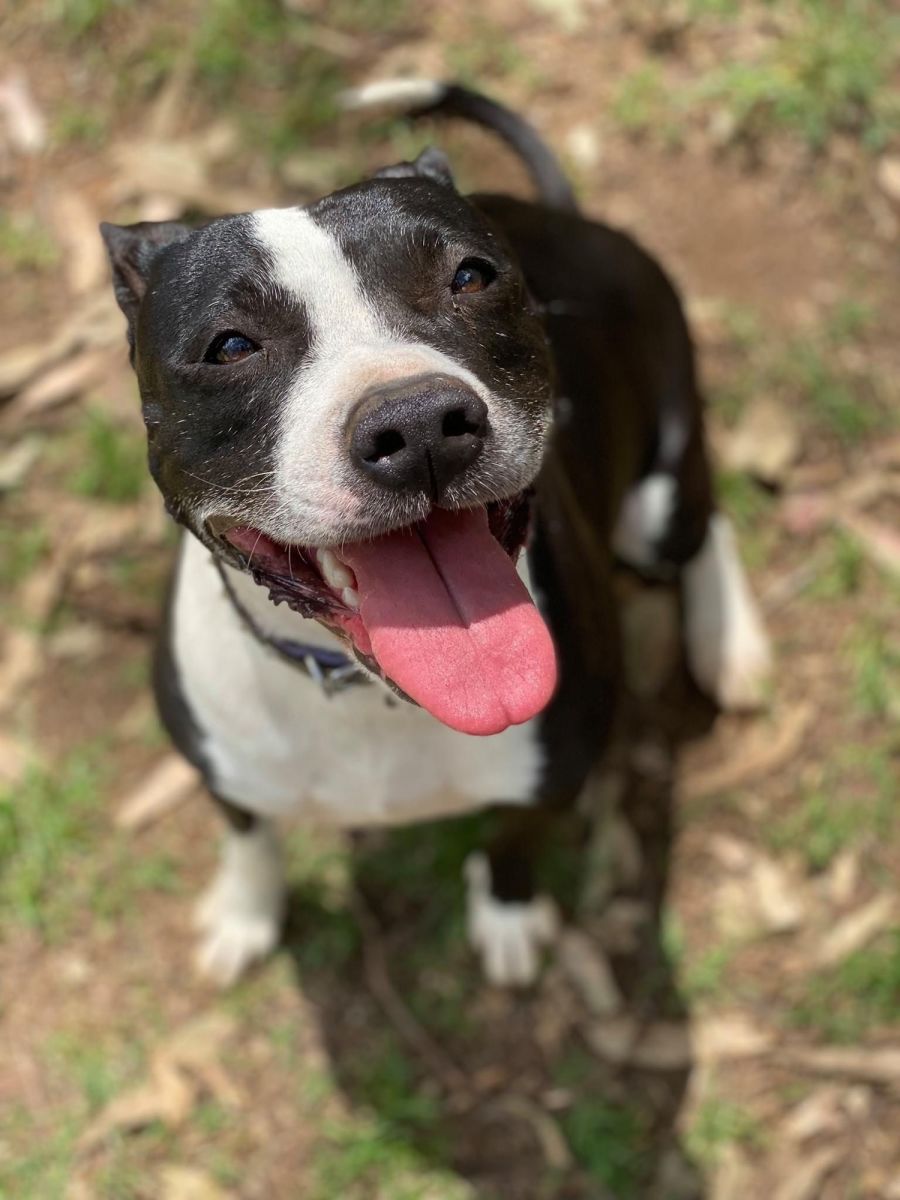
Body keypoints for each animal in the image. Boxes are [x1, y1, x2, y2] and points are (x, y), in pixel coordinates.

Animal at [101, 80, 771, 988]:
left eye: (471, 276)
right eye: (229, 345)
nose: (418, 424)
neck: (366, 691)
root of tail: (565, 213)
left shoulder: (559, 767)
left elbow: (514, 840)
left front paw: (509, 918)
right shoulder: (222, 770)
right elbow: (249, 836)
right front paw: (244, 913)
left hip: (660, 489)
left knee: (704, 524)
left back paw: (730, 643)